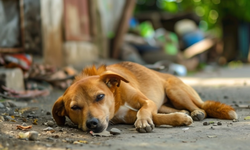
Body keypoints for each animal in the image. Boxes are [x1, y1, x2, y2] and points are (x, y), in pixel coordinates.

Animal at [51, 61, 237, 133]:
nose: (92, 124)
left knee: (200, 106)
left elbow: (144, 110)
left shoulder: (147, 101)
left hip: (175, 90)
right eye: (74, 107)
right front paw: (179, 118)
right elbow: (157, 117)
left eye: (100, 96)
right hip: (166, 102)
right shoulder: (125, 116)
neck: (117, 98)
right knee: (171, 109)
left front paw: (143, 121)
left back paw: (196, 112)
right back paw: (184, 112)